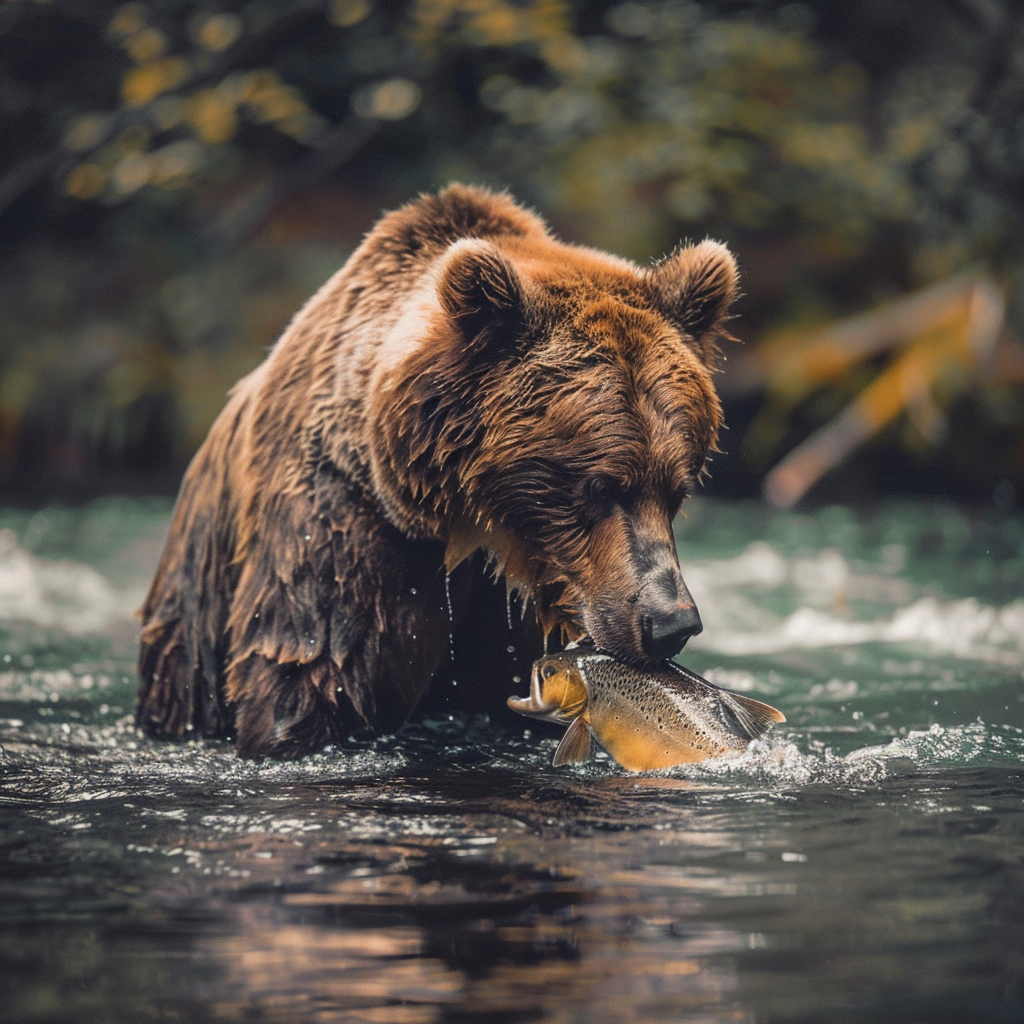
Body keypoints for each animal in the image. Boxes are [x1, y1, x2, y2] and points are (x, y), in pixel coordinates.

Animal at [138, 186, 737, 761]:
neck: (475, 523)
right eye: (599, 485)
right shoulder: (339, 536)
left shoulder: (523, 610)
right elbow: (309, 680)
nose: (671, 623)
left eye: (677, 489)